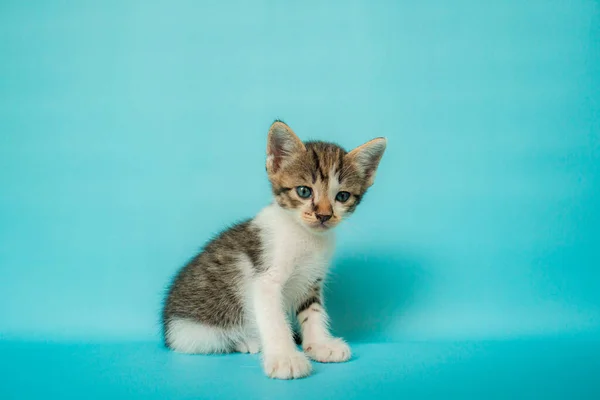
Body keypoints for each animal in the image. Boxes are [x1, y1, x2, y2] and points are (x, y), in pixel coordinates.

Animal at [162, 120, 386, 380]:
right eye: (304, 191)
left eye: (342, 196)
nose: (323, 215)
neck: (306, 236)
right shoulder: (265, 280)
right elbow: (274, 320)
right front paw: (285, 358)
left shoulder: (311, 280)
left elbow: (313, 312)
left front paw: (320, 344)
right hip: (193, 332)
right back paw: (248, 341)